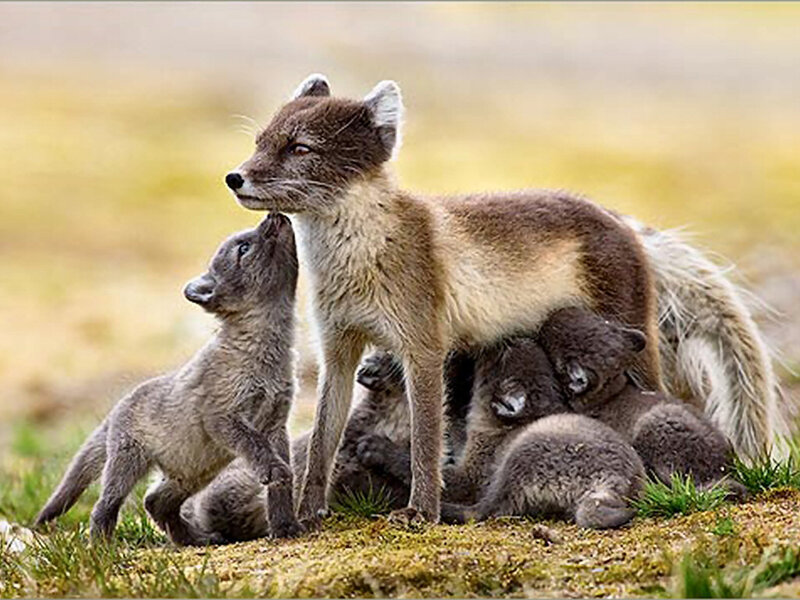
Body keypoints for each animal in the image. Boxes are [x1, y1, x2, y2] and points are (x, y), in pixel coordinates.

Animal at [35, 214, 303, 544]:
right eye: (243, 247)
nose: (275, 216)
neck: (265, 356)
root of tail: (119, 405)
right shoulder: (222, 417)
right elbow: (257, 449)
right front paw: (274, 475)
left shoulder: (276, 423)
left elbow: (281, 489)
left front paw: (285, 529)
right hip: (129, 464)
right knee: (104, 506)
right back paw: (101, 548)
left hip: (194, 472)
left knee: (154, 501)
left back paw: (193, 540)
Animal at [225, 74, 662, 525]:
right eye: (260, 141)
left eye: (300, 148)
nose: (234, 178)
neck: (364, 256)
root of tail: (618, 219)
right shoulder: (338, 350)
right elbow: (320, 443)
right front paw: (308, 513)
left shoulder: (424, 349)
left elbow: (426, 441)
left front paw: (421, 511)